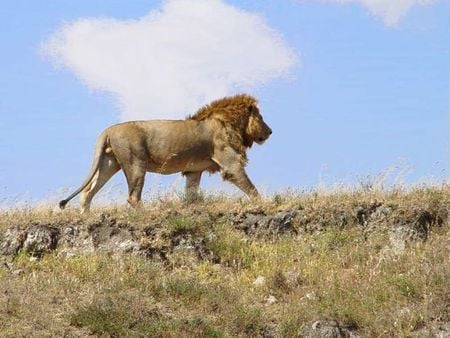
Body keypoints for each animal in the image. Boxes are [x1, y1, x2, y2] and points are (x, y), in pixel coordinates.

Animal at [59, 93, 270, 213]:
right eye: (261, 117)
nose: (270, 131)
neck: (229, 123)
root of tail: (108, 130)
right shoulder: (230, 163)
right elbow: (251, 188)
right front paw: (264, 204)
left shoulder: (194, 171)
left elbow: (192, 194)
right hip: (136, 163)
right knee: (132, 197)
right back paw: (146, 213)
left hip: (109, 163)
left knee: (88, 191)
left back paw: (85, 215)